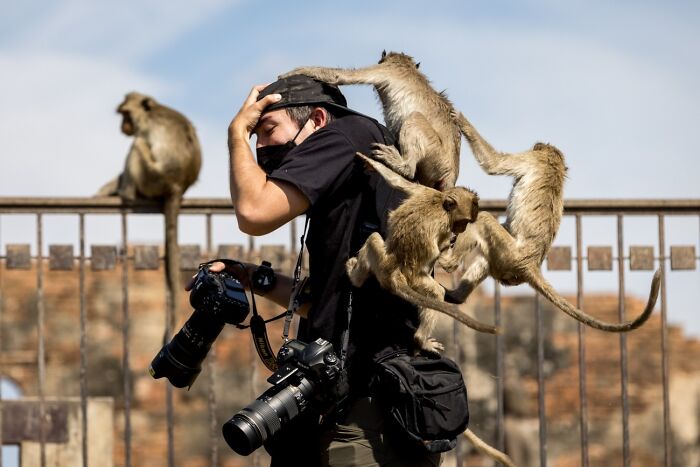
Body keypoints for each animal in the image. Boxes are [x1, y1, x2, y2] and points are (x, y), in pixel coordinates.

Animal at [97, 92, 202, 336]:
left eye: (126, 114)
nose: (123, 126)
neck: (151, 112)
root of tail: (177, 186)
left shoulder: (145, 131)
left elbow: (138, 143)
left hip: (152, 177)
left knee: (137, 145)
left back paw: (126, 193)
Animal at [280, 51, 466, 191]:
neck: (405, 65)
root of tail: (451, 172)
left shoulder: (387, 69)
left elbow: (339, 76)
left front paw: (294, 72)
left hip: (436, 155)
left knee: (415, 118)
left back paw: (404, 166)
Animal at [346, 153, 498, 354]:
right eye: (463, 222)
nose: (462, 229)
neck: (441, 204)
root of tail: (393, 275)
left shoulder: (426, 191)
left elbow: (398, 182)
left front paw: (372, 163)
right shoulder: (443, 224)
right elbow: (441, 257)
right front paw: (447, 247)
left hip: (381, 262)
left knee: (373, 239)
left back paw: (355, 278)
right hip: (412, 280)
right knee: (435, 293)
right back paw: (421, 339)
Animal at [437, 112, 661, 332]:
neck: (555, 164)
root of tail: (530, 265)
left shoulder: (532, 159)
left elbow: (494, 163)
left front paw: (461, 119)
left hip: (510, 254)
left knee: (483, 220)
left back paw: (447, 263)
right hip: (506, 261)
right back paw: (456, 296)